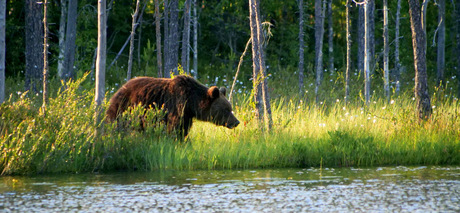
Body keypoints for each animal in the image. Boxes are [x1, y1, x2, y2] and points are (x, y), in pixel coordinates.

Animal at [105, 75, 239, 138]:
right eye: (226, 109)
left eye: (230, 108)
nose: (236, 122)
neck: (191, 101)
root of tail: (119, 89)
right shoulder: (177, 107)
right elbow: (175, 128)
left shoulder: (187, 115)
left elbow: (184, 129)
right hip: (125, 107)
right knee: (116, 122)